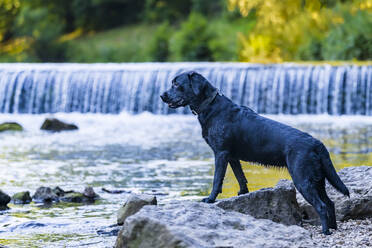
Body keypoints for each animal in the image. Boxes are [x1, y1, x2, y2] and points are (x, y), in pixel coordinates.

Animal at [160, 71, 348, 234]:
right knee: (330, 203)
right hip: (318, 180)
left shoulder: (220, 153)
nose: (162, 96)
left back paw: (325, 232)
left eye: (176, 84)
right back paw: (334, 228)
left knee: (322, 206)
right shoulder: (232, 156)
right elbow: (240, 176)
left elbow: (217, 179)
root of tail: (317, 143)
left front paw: (210, 199)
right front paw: (243, 193)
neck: (211, 106)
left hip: (302, 179)